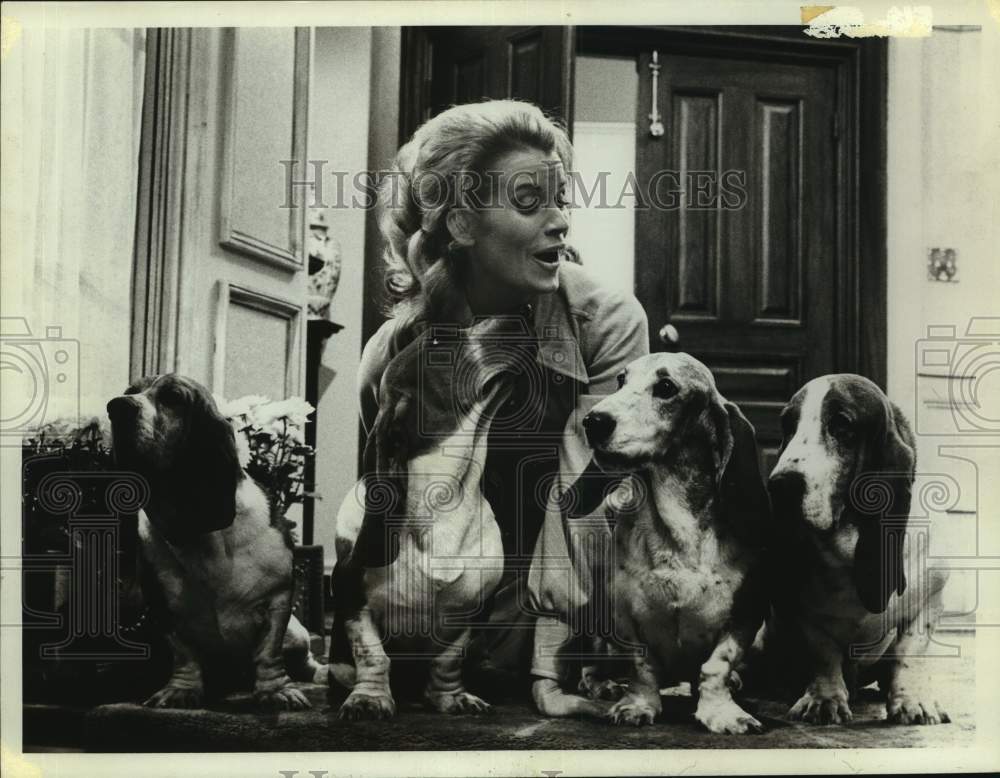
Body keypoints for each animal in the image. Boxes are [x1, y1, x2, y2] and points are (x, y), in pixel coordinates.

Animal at [108, 376, 324, 708]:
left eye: (173, 398)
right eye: (130, 392)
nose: (115, 407)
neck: (198, 533)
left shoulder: (277, 601)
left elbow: (268, 654)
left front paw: (276, 691)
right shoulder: (164, 609)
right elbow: (184, 654)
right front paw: (181, 690)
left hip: (297, 635)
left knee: (306, 662)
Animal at [548, 354, 772, 732]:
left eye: (666, 387)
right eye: (621, 380)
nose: (593, 422)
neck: (677, 528)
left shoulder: (743, 618)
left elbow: (715, 667)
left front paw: (723, 712)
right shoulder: (624, 616)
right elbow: (642, 668)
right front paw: (638, 706)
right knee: (592, 667)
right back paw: (604, 685)